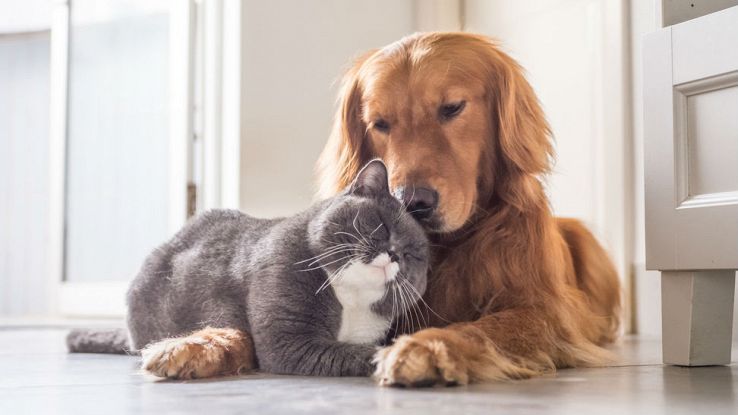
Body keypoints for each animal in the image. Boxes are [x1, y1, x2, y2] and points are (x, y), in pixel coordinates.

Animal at [69, 161, 428, 378]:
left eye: (413, 254)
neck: (350, 300)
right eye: (381, 225)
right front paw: (398, 357)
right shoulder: (289, 341)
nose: (394, 254)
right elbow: (359, 352)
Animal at [316, 32, 620, 386]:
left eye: (452, 108)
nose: (412, 202)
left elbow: (481, 328)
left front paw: (426, 347)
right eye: (379, 124)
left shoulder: (543, 311)